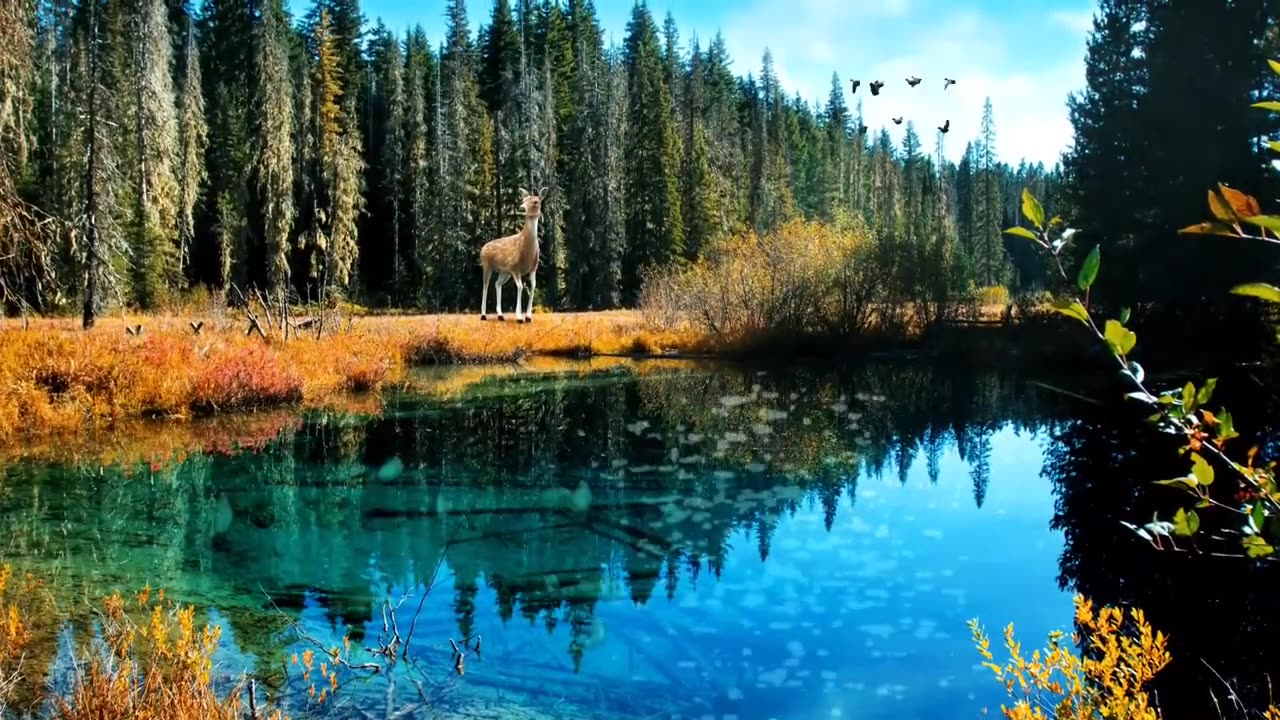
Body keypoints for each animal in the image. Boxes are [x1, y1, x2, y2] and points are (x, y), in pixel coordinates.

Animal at [478, 185, 542, 320]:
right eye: (524, 200)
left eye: (535, 202)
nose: (522, 207)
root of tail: (482, 248)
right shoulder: (514, 266)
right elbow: (520, 286)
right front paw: (519, 317)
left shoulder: (534, 267)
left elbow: (533, 286)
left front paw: (528, 317)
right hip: (487, 265)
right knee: (485, 285)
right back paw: (483, 314)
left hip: (504, 272)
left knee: (497, 284)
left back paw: (500, 315)